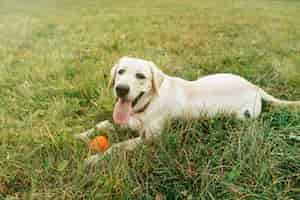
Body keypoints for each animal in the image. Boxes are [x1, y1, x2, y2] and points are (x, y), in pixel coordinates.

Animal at [77, 55, 300, 164]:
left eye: (141, 76)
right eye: (121, 72)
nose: (121, 89)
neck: (147, 104)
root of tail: (254, 87)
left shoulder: (150, 139)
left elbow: (117, 146)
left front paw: (93, 159)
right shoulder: (125, 121)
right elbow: (103, 123)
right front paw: (80, 135)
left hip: (241, 116)